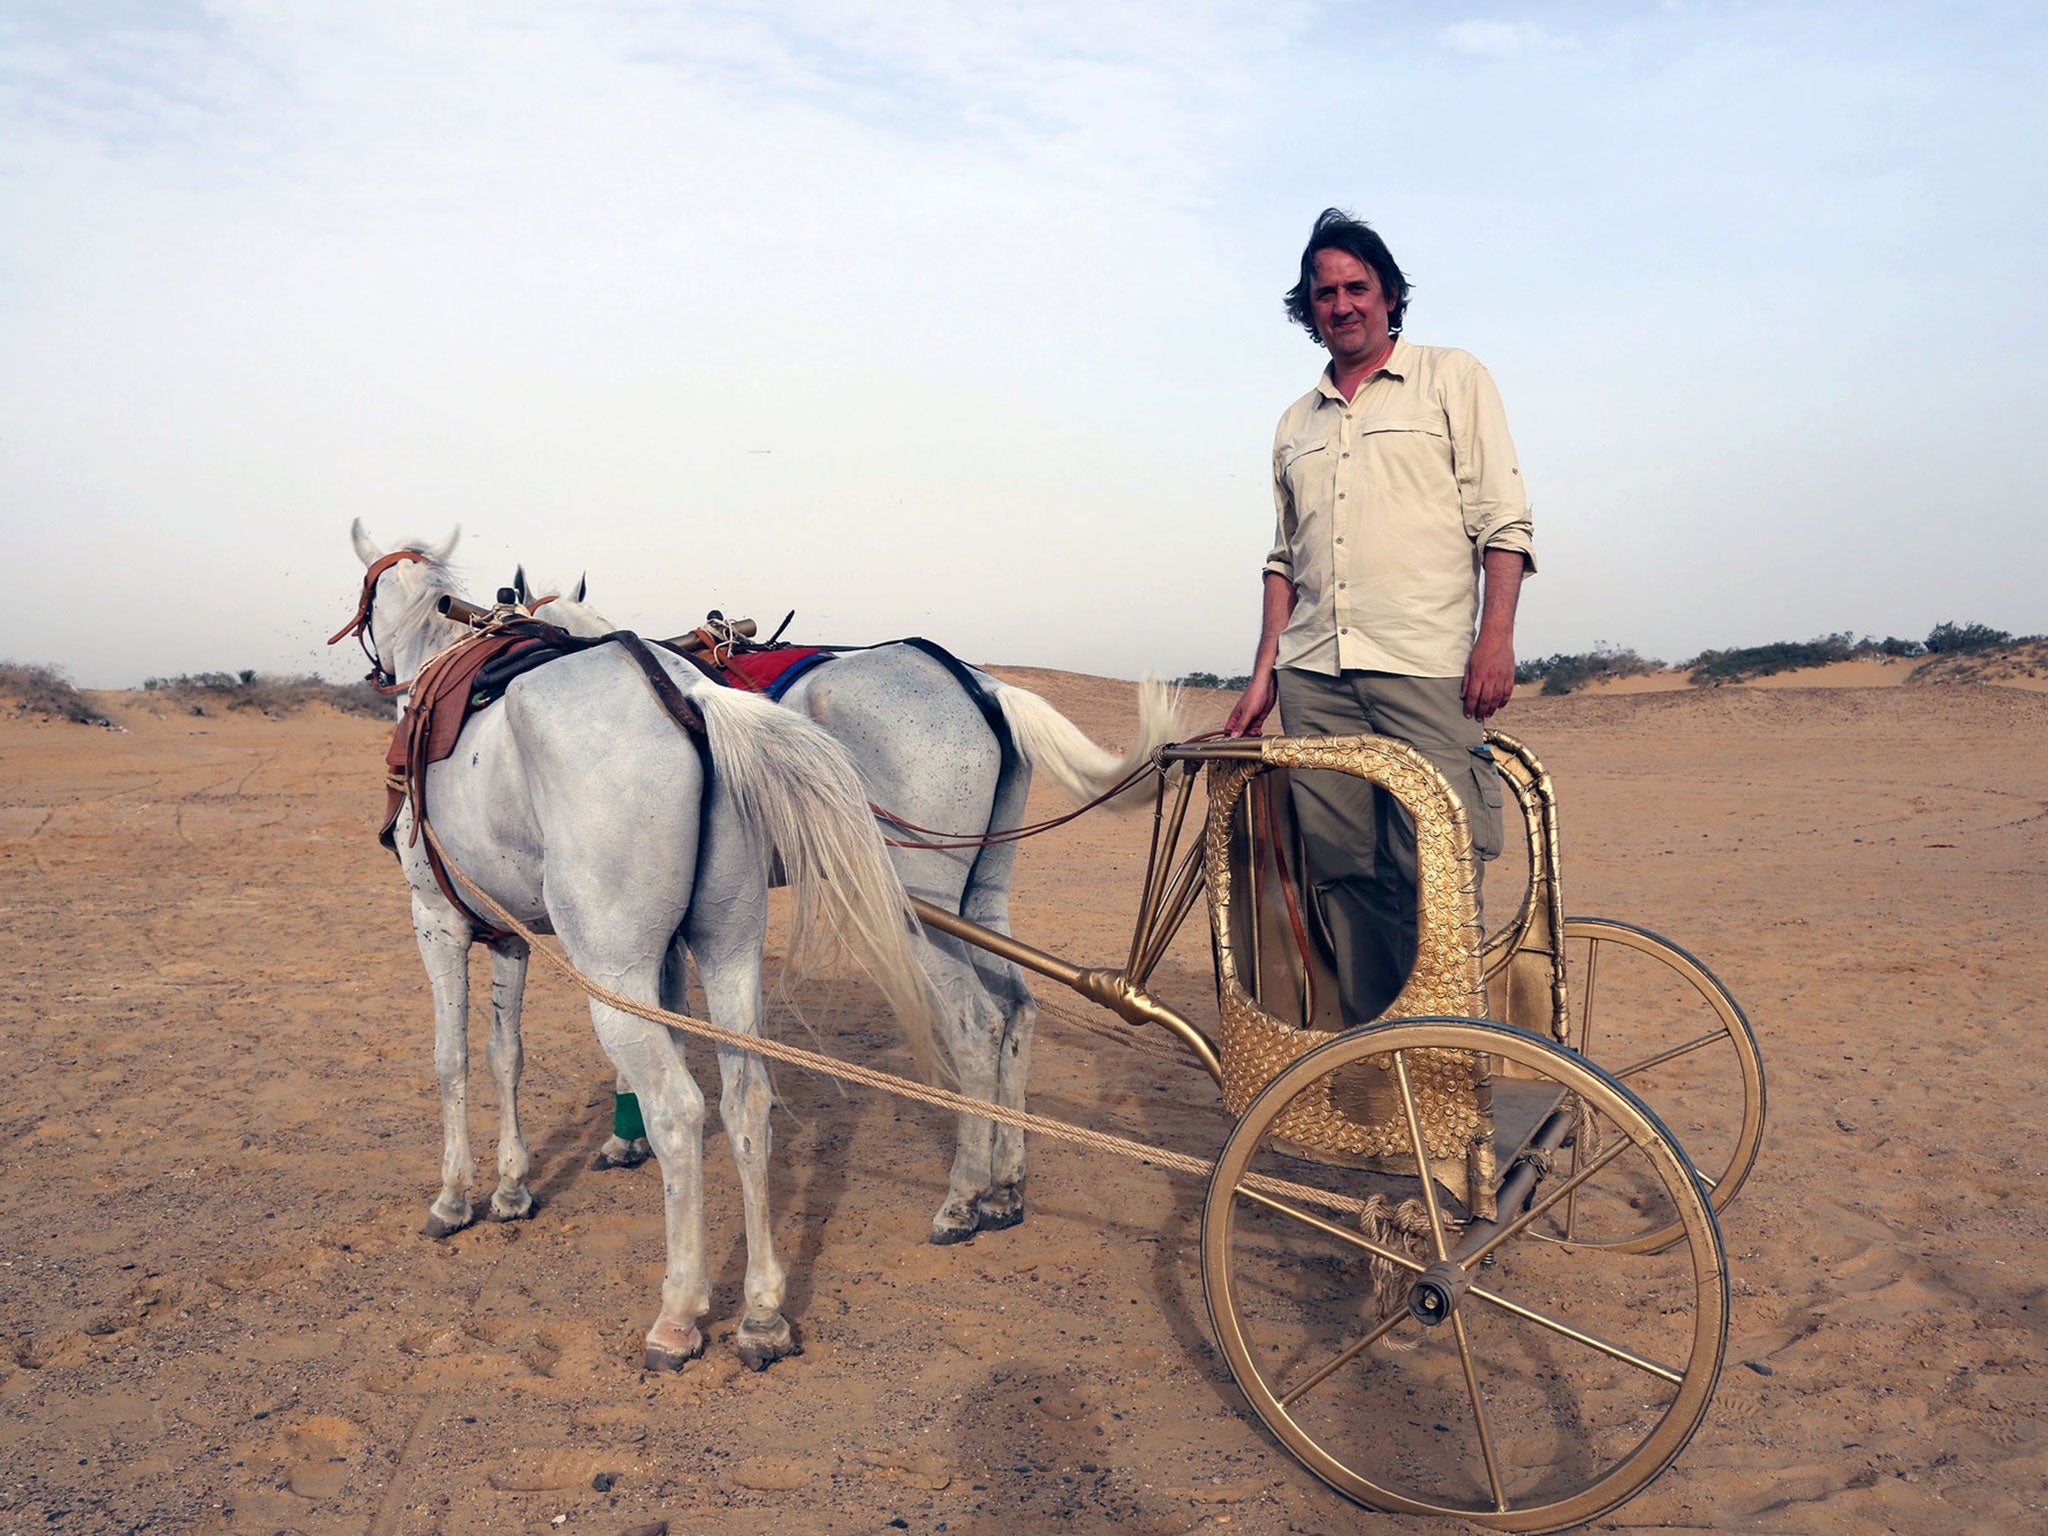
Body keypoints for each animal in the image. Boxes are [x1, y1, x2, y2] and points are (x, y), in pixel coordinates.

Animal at [350, 528, 942, 1368]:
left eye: (367, 598)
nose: (374, 672)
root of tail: (690, 699)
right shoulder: (513, 938)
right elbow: (506, 1054)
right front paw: (512, 1188)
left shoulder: (436, 920)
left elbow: (451, 1059)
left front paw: (455, 1197)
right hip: (728, 951)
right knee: (746, 1100)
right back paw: (762, 1313)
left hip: (614, 972)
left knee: (679, 1109)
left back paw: (680, 1312)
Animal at [512, 573, 1187, 1245]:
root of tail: (978, 685)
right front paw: (629, 1134)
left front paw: (624, 1137)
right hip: (983, 897)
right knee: (1018, 1010)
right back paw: (1005, 1189)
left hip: (920, 907)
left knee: (977, 1027)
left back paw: (962, 1198)